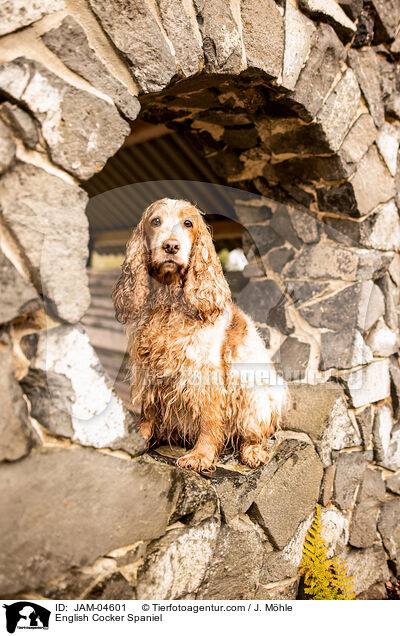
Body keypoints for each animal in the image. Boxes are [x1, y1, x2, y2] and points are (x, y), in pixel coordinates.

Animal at [112, 199, 288, 472]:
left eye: (188, 223)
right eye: (155, 221)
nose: (171, 246)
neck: (168, 304)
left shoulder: (205, 372)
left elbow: (209, 418)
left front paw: (201, 455)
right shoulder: (149, 368)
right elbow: (147, 412)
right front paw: (140, 439)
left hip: (257, 391)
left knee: (254, 433)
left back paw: (253, 452)